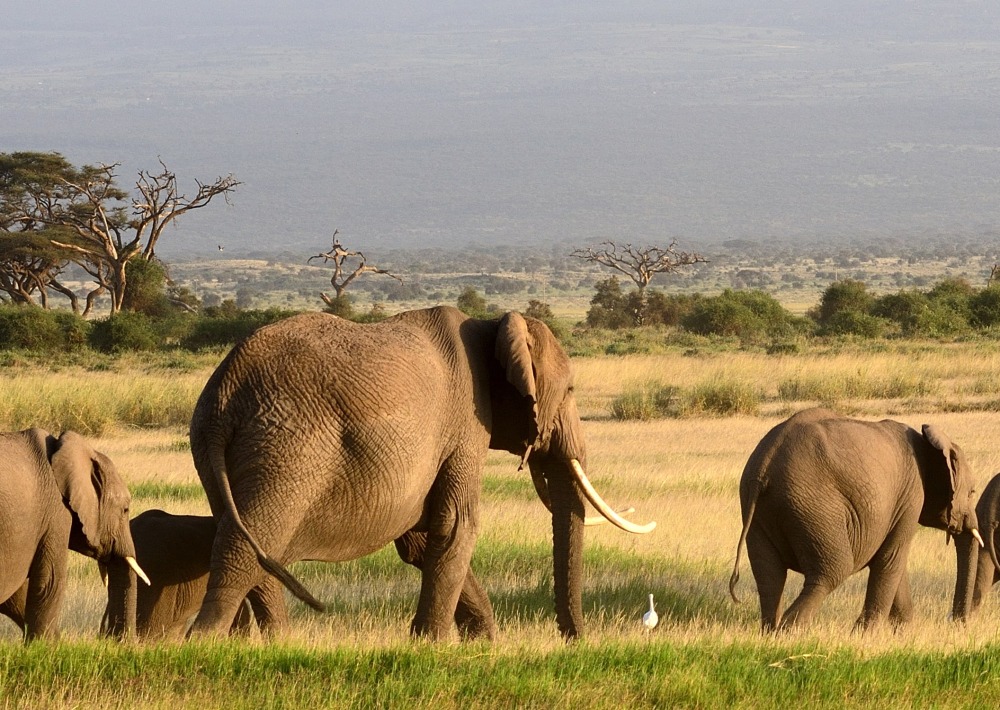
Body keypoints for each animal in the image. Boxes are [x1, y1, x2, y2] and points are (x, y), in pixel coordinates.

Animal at [0, 432, 148, 644]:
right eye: (125, 510)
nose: (114, 641)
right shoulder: (55, 513)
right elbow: (50, 580)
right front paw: (43, 646)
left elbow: (16, 593)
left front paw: (51, 642)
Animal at [188, 308, 656, 644]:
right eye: (571, 390)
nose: (577, 642)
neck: (493, 325)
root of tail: (225, 391)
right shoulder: (465, 424)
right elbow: (457, 526)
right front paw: (435, 646)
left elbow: (420, 539)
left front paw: (484, 645)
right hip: (287, 450)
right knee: (250, 544)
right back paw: (206, 642)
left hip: (221, 455)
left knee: (250, 541)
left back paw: (280, 645)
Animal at [732, 408, 980, 632]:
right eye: (972, 493)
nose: (958, 623)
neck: (931, 443)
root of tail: (765, 464)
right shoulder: (911, 496)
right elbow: (892, 558)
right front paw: (865, 634)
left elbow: (890, 561)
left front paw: (904, 632)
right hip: (815, 507)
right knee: (833, 570)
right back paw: (789, 631)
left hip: (760, 509)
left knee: (769, 577)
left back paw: (770, 632)